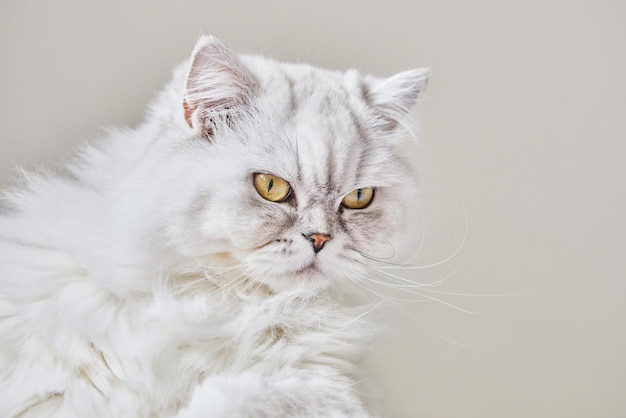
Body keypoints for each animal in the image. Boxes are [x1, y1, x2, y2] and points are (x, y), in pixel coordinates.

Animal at [0, 34, 424, 416]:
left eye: (358, 198)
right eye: (271, 187)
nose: (320, 239)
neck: (219, 301)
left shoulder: (329, 386)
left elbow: (251, 399)